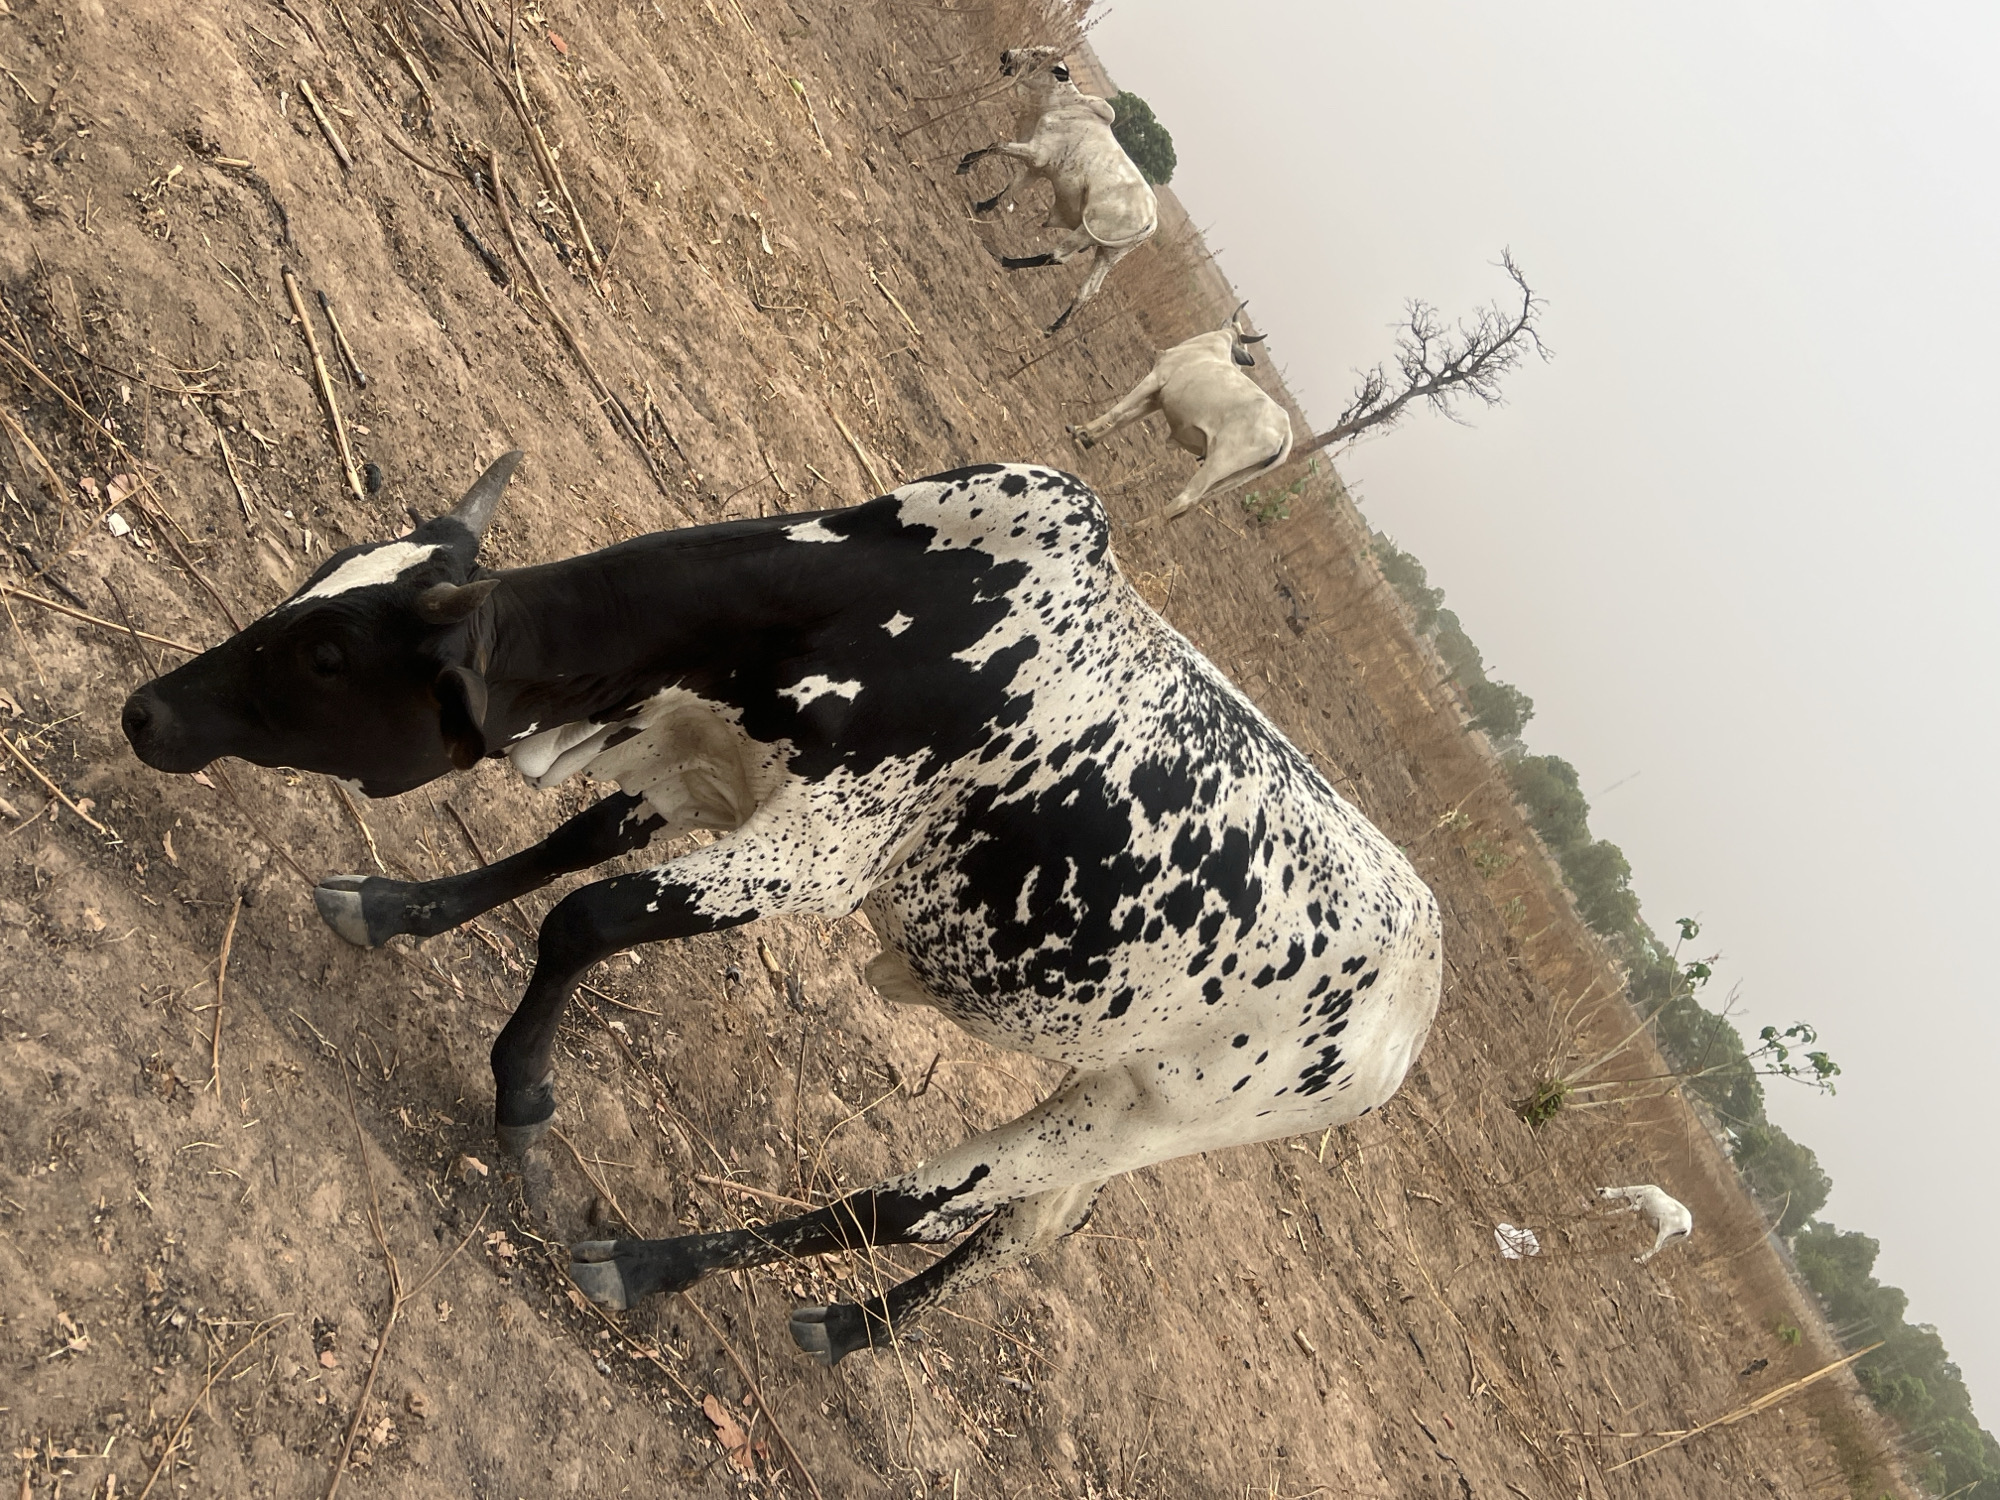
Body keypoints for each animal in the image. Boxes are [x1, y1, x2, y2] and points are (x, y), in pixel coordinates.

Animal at [122, 454, 1443, 1365]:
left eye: (330, 654)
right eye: (316, 587)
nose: (144, 712)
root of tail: (1416, 989)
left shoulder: (814, 857)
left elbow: (586, 918)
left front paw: (524, 1099)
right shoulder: (713, 767)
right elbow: (575, 845)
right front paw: (397, 906)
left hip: (1143, 1122)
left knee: (918, 1203)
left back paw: (648, 1266)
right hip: (1111, 1094)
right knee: (1005, 1230)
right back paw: (853, 1332)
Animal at [956, 47, 1159, 336]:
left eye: (1037, 56)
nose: (1006, 55)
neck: (1063, 105)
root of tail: (1152, 220)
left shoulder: (1035, 152)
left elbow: (996, 145)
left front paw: (964, 164)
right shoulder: (1038, 166)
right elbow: (1011, 187)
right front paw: (982, 206)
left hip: (1085, 232)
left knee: (1058, 256)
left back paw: (1005, 260)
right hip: (1108, 255)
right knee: (1088, 290)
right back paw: (1054, 327)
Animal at [1067, 303, 1295, 526]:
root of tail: (1285, 433)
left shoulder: (1155, 378)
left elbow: (1117, 411)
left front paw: (1080, 430)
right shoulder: (1158, 399)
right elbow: (1123, 420)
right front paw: (1090, 440)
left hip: (1218, 463)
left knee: (1186, 498)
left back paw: (1134, 527)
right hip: (1231, 478)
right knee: (1194, 504)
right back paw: (1141, 525)